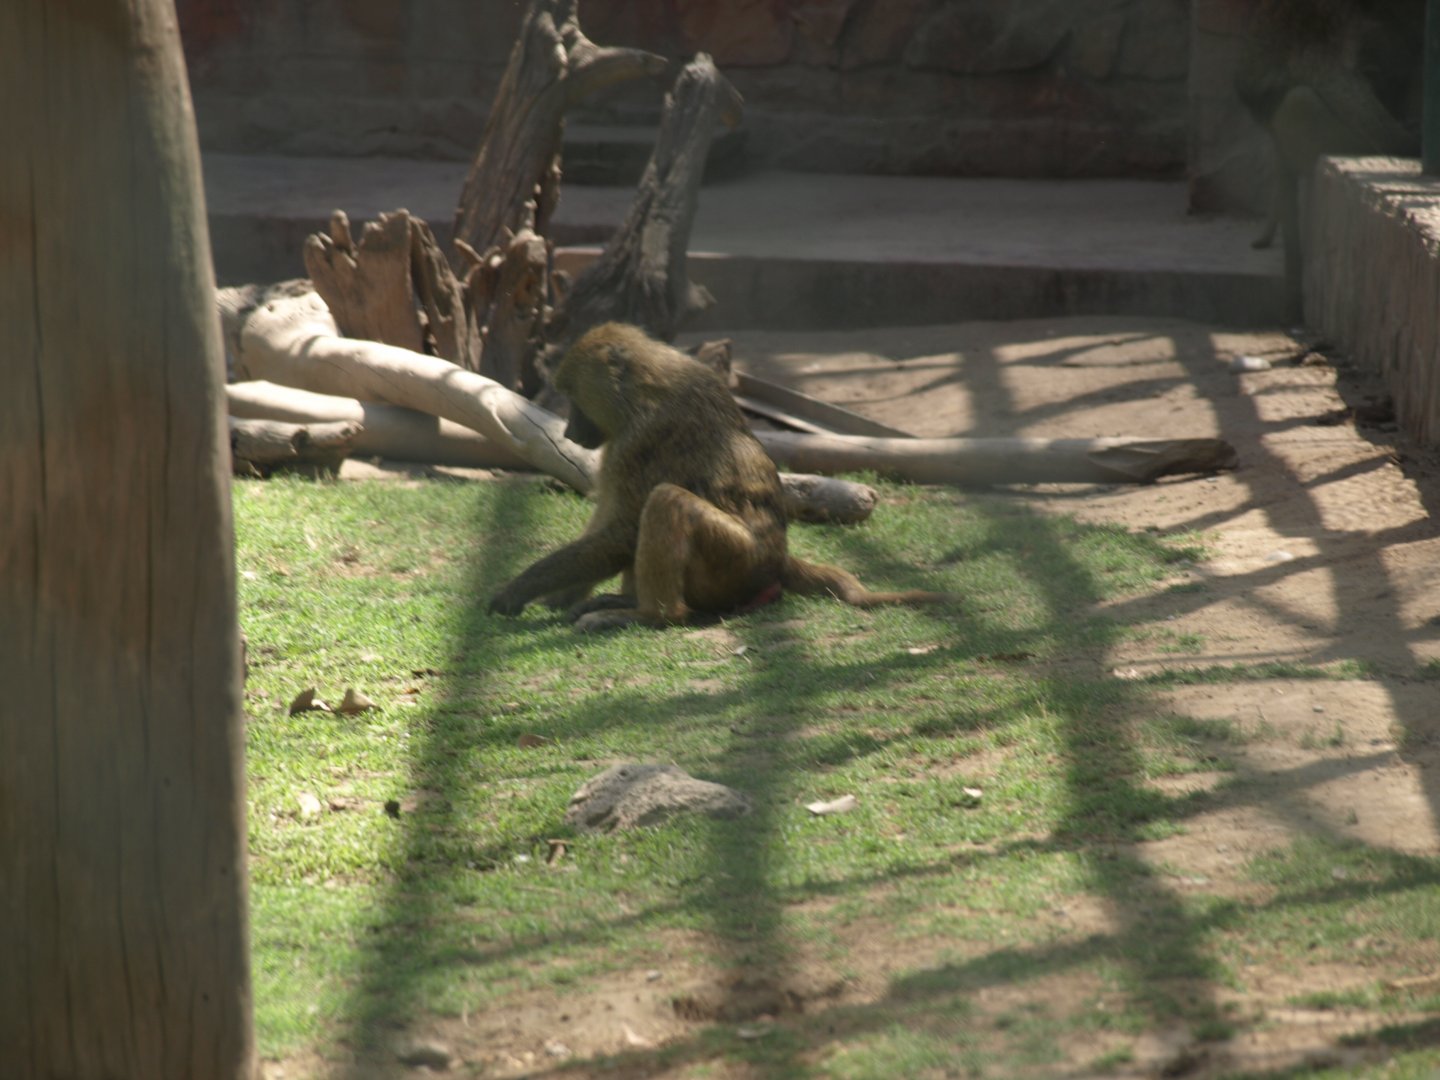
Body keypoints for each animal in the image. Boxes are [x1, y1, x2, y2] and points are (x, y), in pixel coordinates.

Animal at [488, 323, 956, 632]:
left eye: (571, 398)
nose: (569, 431)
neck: (646, 385)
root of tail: (777, 562)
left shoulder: (637, 439)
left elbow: (621, 530)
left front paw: (518, 591)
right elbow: (612, 522)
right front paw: (557, 597)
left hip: (735, 566)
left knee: (666, 501)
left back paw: (646, 615)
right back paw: (624, 600)